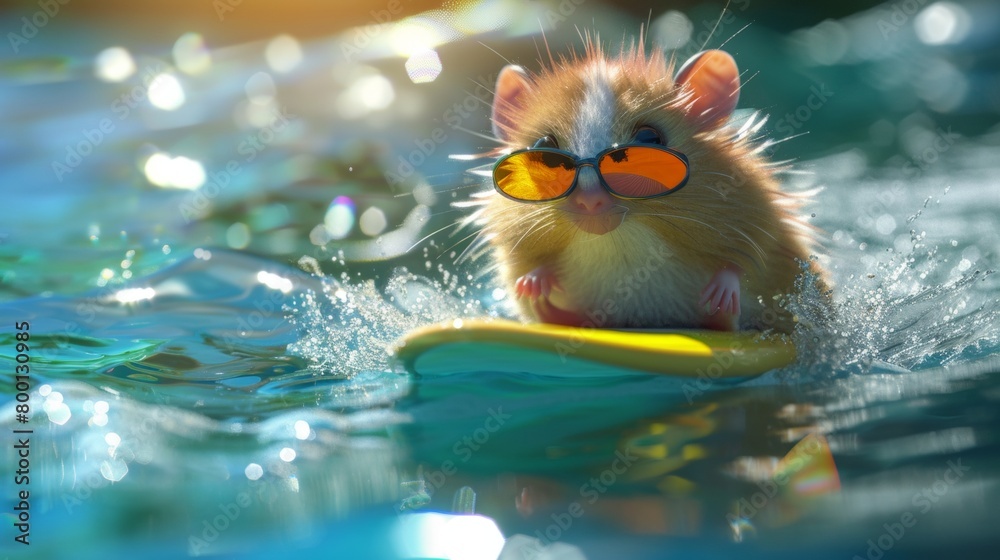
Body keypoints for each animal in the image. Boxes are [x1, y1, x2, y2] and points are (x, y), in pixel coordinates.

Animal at [465, 36, 826, 334]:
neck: (618, 246)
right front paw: (533, 284)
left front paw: (721, 296)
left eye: (650, 140)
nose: (590, 204)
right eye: (544, 148)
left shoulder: (761, 217)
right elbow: (530, 288)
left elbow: (747, 262)